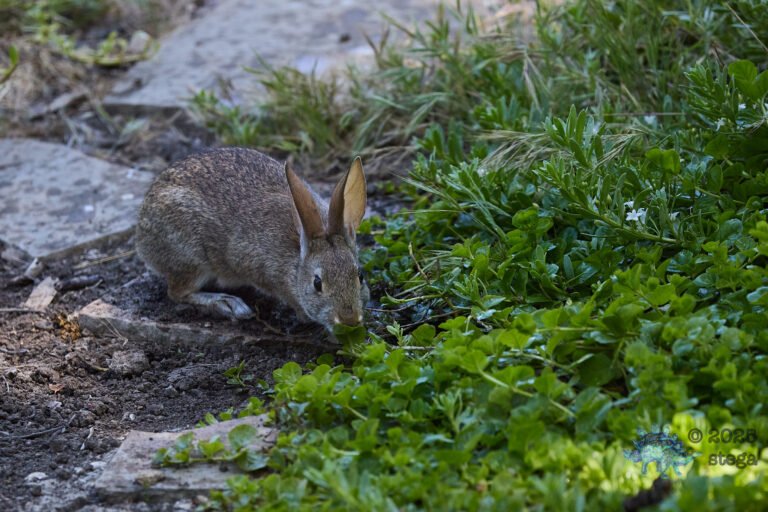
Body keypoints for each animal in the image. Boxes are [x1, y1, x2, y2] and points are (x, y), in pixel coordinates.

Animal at [134, 147, 369, 333]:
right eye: (317, 283)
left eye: (360, 275)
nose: (349, 319)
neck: (297, 260)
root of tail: (142, 230)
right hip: (191, 258)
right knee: (177, 292)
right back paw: (228, 304)